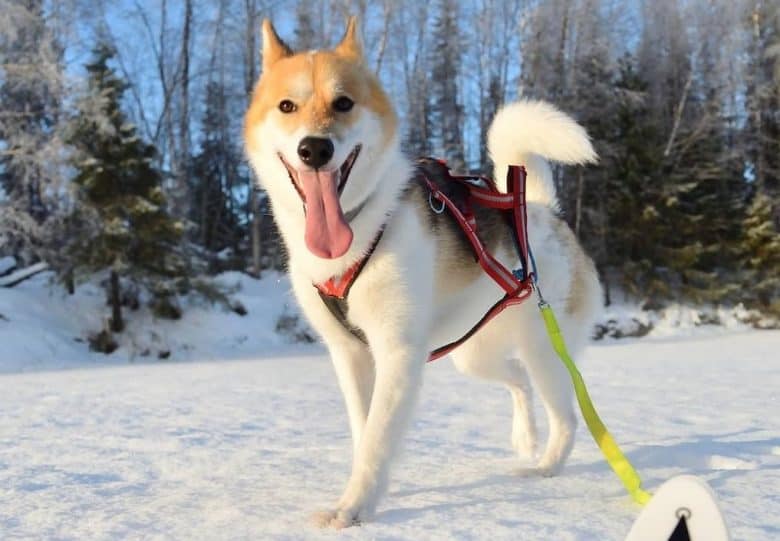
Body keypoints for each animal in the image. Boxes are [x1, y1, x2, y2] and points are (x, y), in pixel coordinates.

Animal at [244, 16, 604, 528]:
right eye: (287, 106)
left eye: (343, 102)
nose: (315, 148)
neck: (358, 228)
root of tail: (539, 210)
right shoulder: (350, 354)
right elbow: (365, 430)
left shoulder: (397, 352)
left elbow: (377, 438)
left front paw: (353, 508)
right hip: (474, 354)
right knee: (517, 379)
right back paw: (525, 437)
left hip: (544, 350)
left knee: (568, 416)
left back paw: (546, 466)